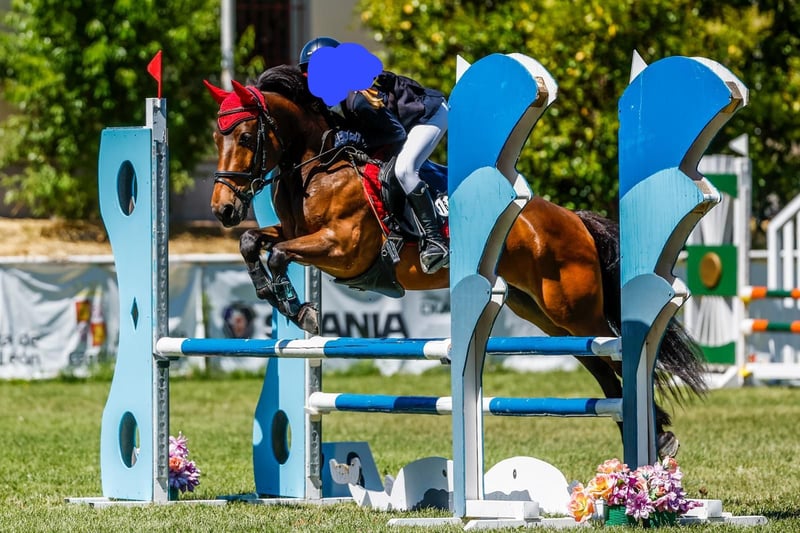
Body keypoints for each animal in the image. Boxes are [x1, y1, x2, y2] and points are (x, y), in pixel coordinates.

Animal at [202, 64, 706, 459]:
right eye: (215, 137)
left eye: (245, 136)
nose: (222, 209)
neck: (316, 167)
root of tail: (573, 219)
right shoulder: (296, 234)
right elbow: (253, 241)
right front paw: (276, 294)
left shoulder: (342, 249)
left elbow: (278, 252)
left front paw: (298, 307)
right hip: (541, 313)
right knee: (601, 365)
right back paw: (649, 433)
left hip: (574, 308)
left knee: (619, 352)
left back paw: (655, 432)